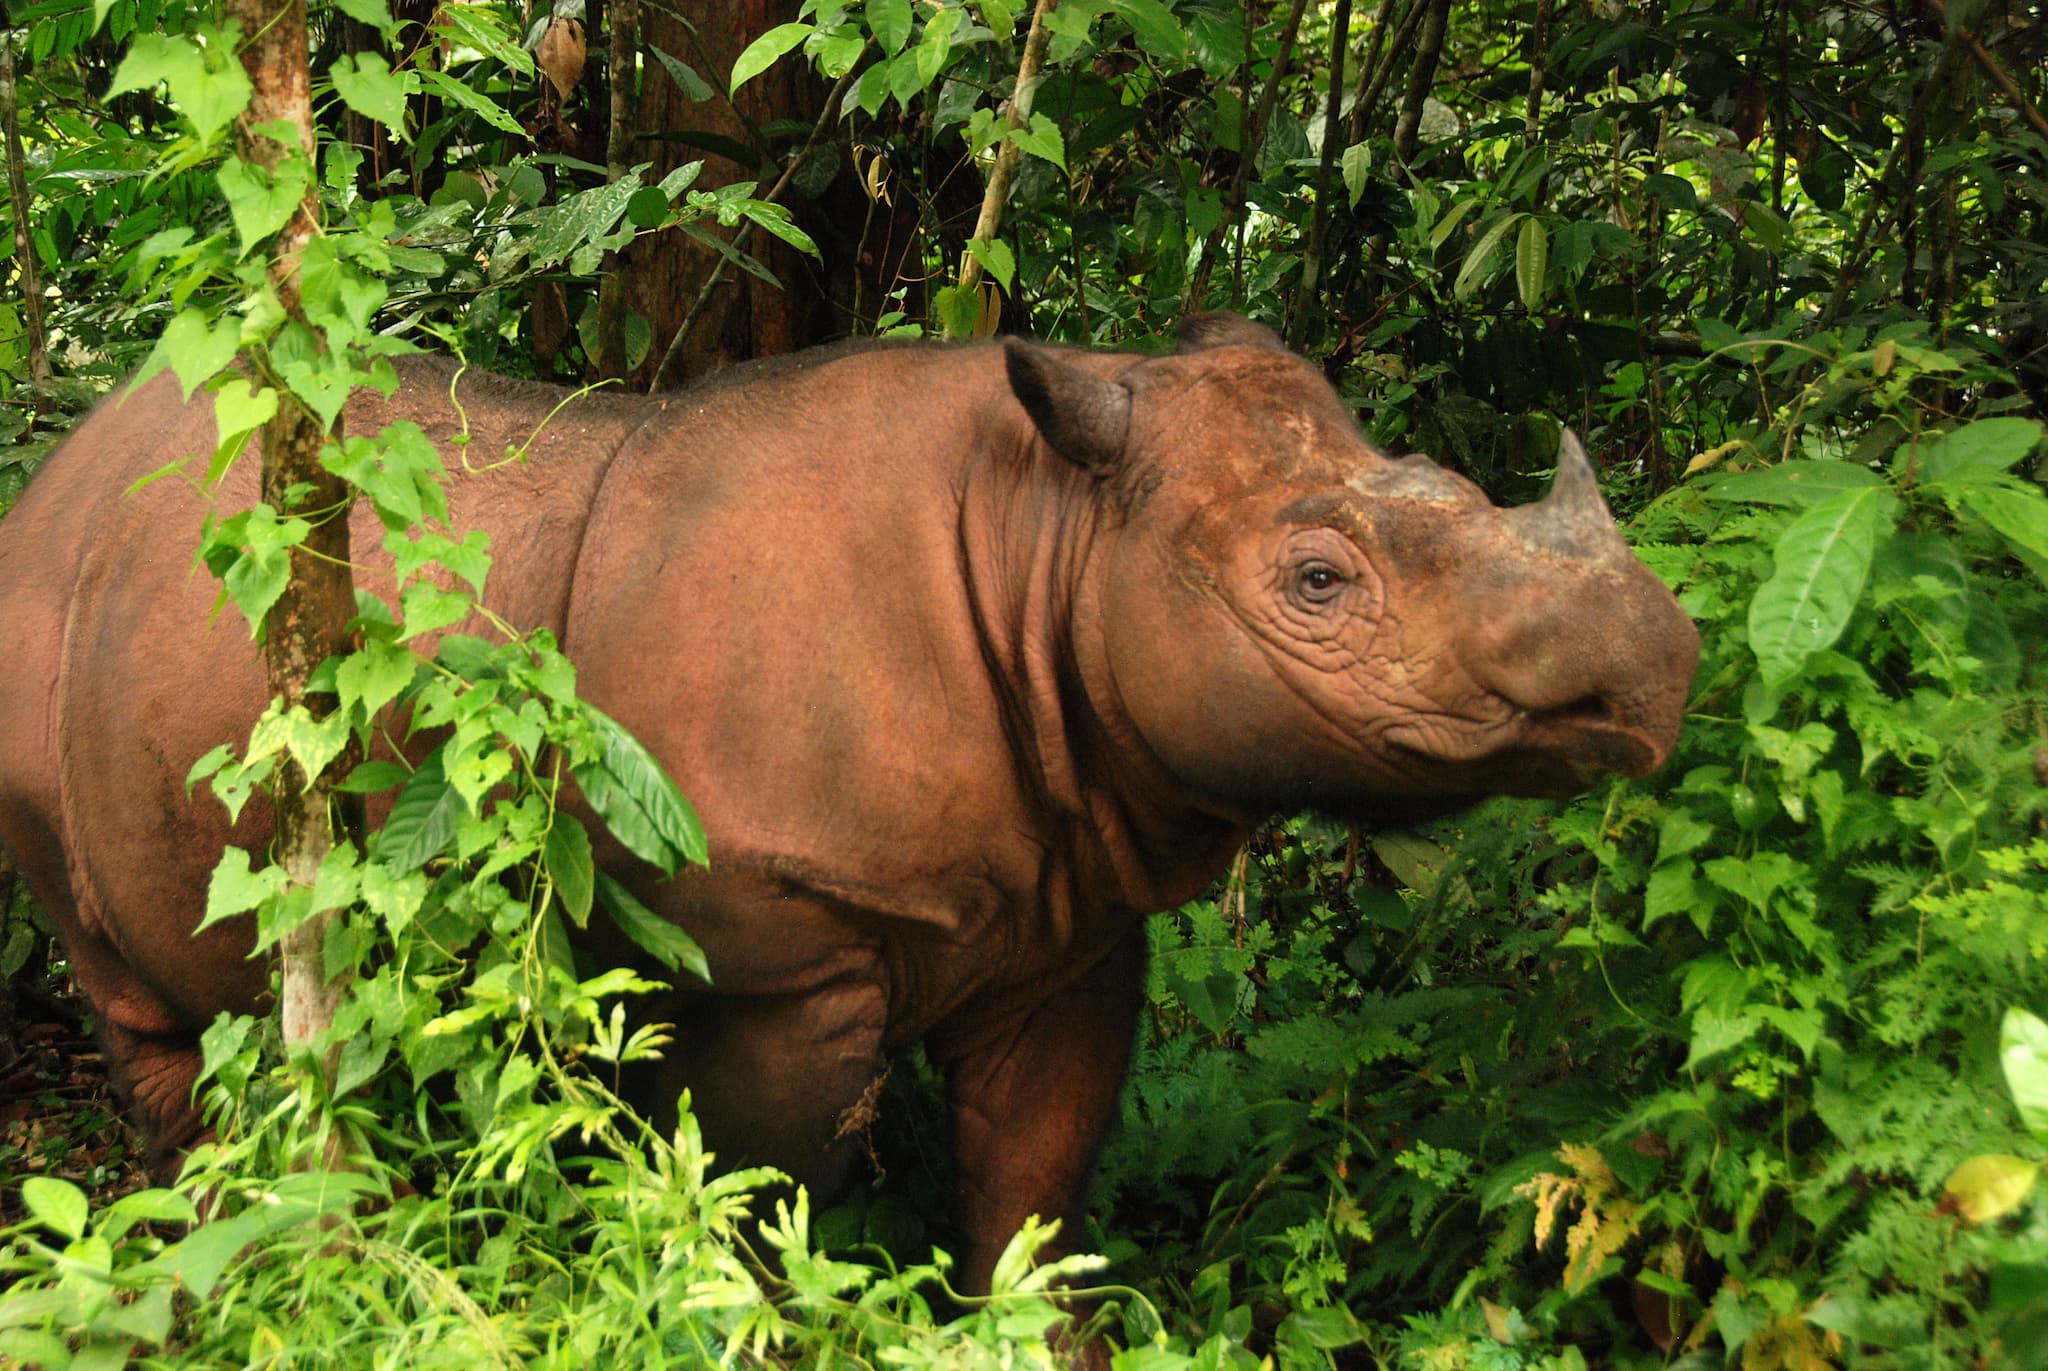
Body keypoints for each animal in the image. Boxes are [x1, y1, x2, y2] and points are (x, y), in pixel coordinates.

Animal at [0, 314, 1696, 1290]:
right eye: (1319, 580)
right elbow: (758, 1196)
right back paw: (217, 1246)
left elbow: (1032, 1189)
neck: (1052, 535)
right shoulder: (771, 948)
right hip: (43, 649)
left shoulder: (1070, 916)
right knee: (144, 1005)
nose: (1657, 668)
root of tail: (59, 472)